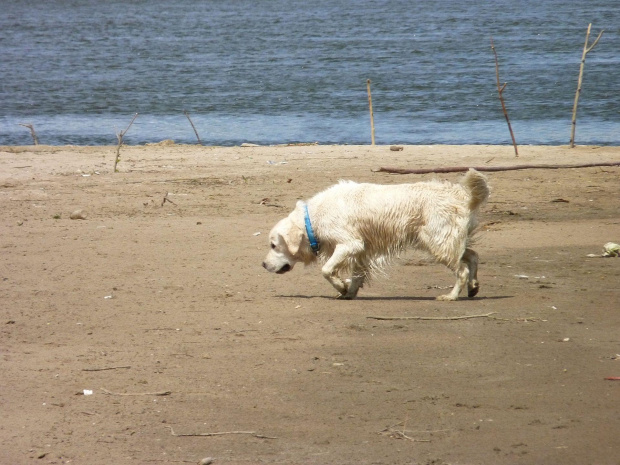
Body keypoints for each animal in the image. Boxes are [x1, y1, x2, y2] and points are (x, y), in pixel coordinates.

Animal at [262, 169, 490, 300]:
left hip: (438, 242)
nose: (263, 264)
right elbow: (356, 274)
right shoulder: (361, 251)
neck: (313, 219)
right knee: (473, 256)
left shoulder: (350, 244)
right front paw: (348, 291)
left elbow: (326, 270)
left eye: (273, 245)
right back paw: (473, 287)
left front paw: (341, 286)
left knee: (462, 270)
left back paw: (451, 296)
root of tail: (463, 196)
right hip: (444, 241)